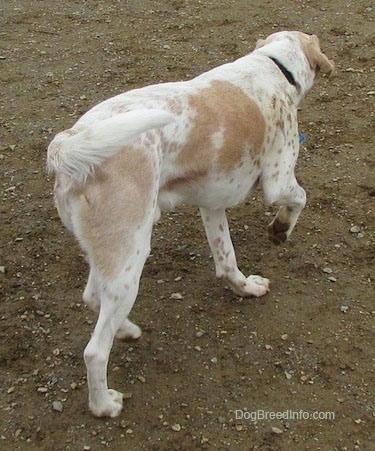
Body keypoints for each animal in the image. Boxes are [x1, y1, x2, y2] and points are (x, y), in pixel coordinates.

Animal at [46, 30, 334, 420]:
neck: (274, 64)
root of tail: (67, 144)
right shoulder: (278, 181)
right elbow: (300, 197)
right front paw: (281, 228)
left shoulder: (212, 205)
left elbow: (227, 262)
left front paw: (247, 288)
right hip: (130, 258)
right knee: (94, 351)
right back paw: (104, 405)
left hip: (111, 254)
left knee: (93, 297)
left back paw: (128, 329)